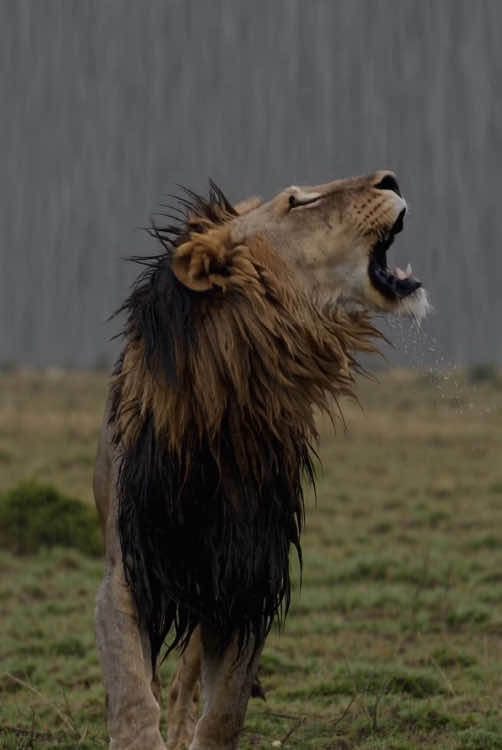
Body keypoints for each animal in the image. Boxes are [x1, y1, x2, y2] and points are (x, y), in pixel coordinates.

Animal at [94, 171, 428, 750]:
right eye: (298, 202)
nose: (390, 178)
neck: (230, 423)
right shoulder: (127, 578)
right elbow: (134, 698)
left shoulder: (247, 586)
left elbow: (223, 714)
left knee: (185, 684)